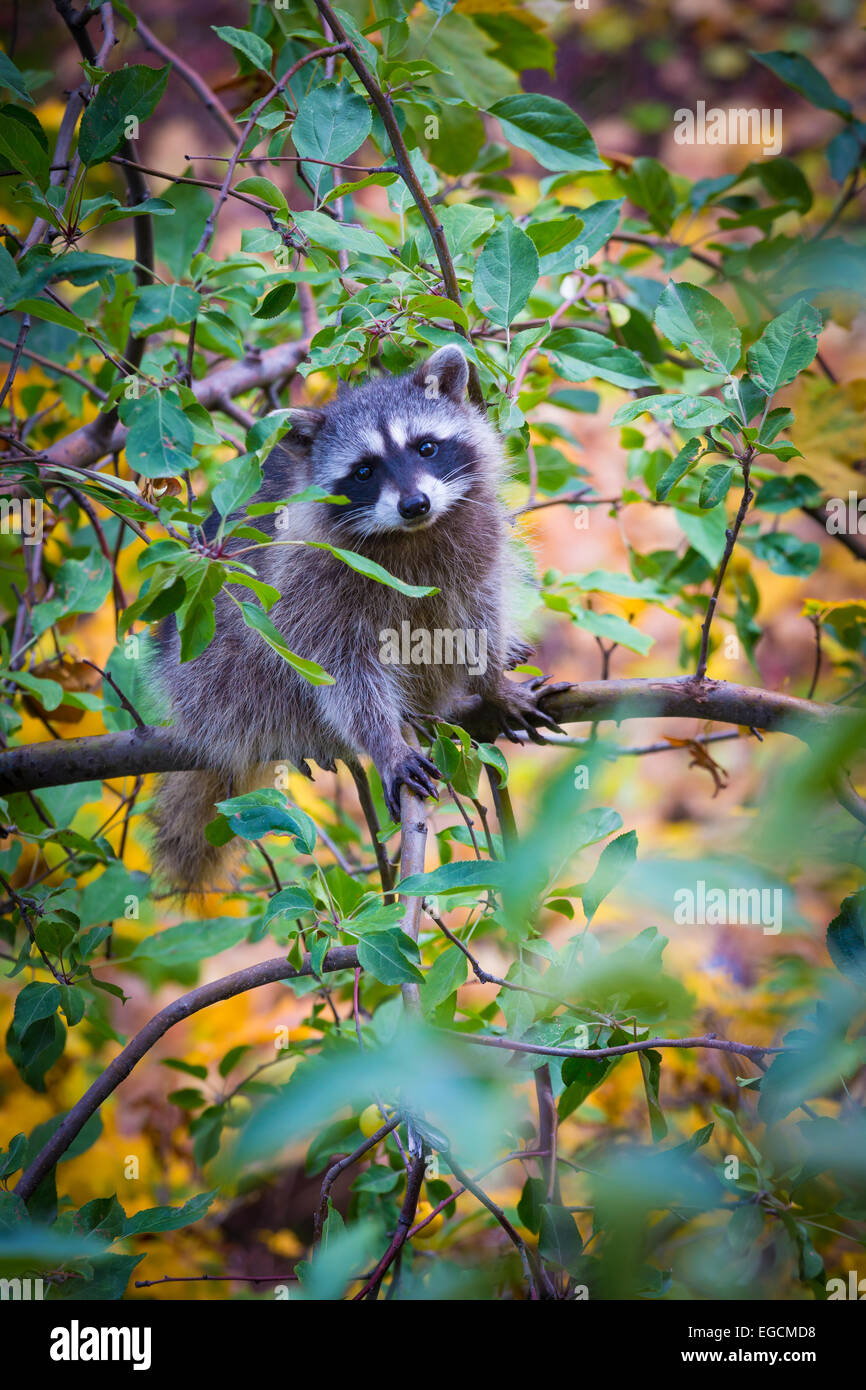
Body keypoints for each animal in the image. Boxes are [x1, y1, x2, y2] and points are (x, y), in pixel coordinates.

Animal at [152, 346, 567, 889]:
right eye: (364, 471)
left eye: (426, 447)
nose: (415, 504)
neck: (411, 534)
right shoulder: (309, 576)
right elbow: (339, 665)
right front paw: (385, 742)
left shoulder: (477, 539)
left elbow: (478, 613)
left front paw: (493, 681)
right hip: (204, 672)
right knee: (243, 674)